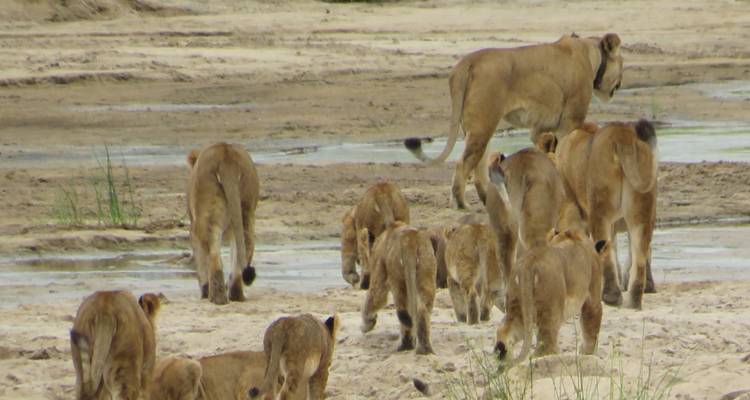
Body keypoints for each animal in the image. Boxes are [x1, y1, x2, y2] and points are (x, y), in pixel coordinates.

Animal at [187, 143, 259, 305]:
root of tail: (226, 153)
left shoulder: (193, 230)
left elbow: (200, 259)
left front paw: (204, 291)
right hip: (246, 210)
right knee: (244, 248)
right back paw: (235, 295)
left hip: (207, 216)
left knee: (213, 255)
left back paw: (217, 298)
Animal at [361, 221, 437, 355]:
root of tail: (410, 241)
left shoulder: (379, 271)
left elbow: (375, 297)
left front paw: (367, 325)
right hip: (426, 273)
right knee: (422, 309)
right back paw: (423, 349)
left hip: (397, 277)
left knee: (403, 312)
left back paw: (405, 345)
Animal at [404, 33, 624, 209]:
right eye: (622, 62)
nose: (621, 82)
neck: (591, 54)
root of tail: (466, 62)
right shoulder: (570, 121)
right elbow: (565, 155)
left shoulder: (539, 128)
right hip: (482, 125)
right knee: (462, 164)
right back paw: (462, 205)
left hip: (478, 129)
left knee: (478, 167)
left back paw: (488, 201)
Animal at [494, 230, 608, 366]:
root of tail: (530, 260)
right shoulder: (593, 298)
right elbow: (591, 330)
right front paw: (588, 354)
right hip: (550, 311)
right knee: (545, 348)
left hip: (518, 307)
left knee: (504, 332)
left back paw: (503, 362)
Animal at [555, 120, 658, 309]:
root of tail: (622, 136)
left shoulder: (570, 206)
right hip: (642, 213)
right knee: (640, 254)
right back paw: (634, 301)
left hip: (600, 210)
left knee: (606, 253)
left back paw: (611, 296)